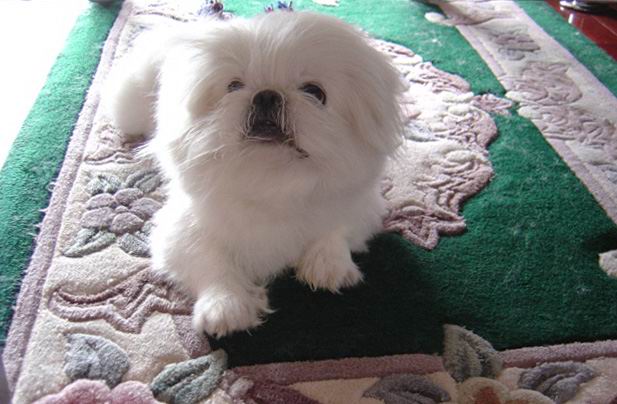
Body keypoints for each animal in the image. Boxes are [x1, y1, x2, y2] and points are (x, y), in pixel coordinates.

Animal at [106, 11, 404, 337]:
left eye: (315, 93)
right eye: (234, 86)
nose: (267, 95)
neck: (272, 183)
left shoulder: (361, 206)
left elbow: (335, 228)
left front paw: (330, 264)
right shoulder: (181, 232)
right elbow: (211, 261)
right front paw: (225, 307)